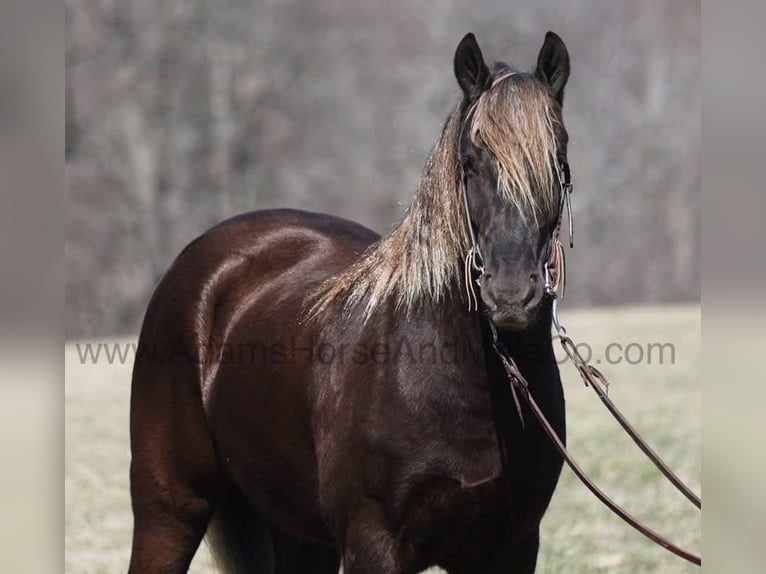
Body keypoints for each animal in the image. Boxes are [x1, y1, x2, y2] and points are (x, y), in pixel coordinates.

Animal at [128, 31, 572, 574]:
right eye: (470, 162)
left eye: (559, 159)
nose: (509, 293)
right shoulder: (372, 545)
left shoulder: (511, 548)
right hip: (170, 511)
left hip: (298, 534)